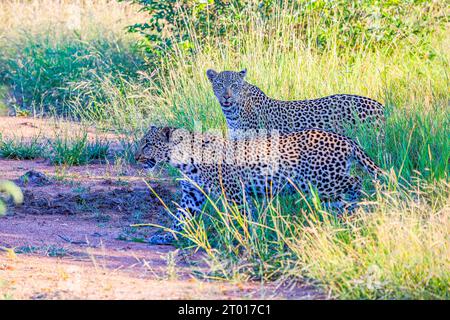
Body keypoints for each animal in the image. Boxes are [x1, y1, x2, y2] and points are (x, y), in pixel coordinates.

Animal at [134, 125, 384, 245]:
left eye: (148, 144)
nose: (135, 157)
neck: (184, 161)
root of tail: (347, 139)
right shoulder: (192, 194)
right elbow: (180, 218)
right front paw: (167, 237)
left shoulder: (233, 191)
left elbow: (242, 215)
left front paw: (246, 237)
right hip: (321, 186)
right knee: (341, 197)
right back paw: (341, 215)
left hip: (324, 180)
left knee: (358, 182)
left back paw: (364, 204)